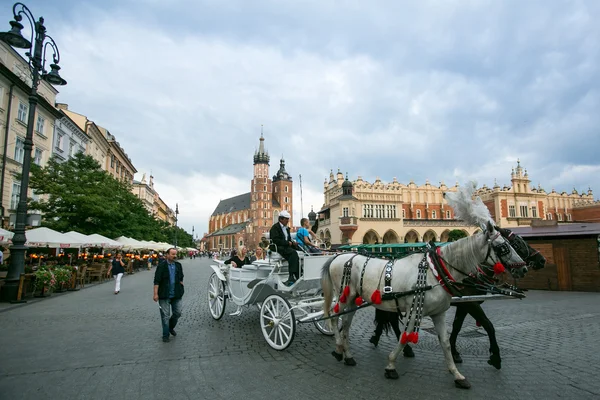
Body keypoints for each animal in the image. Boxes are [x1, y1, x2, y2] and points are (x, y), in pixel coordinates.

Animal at [322, 220, 524, 390]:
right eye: (504, 247)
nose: (523, 268)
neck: (434, 273)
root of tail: (338, 257)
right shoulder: (415, 311)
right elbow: (404, 338)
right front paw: (391, 366)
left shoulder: (439, 313)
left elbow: (445, 343)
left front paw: (457, 375)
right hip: (343, 296)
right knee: (333, 317)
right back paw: (339, 348)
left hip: (352, 299)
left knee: (346, 323)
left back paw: (348, 355)